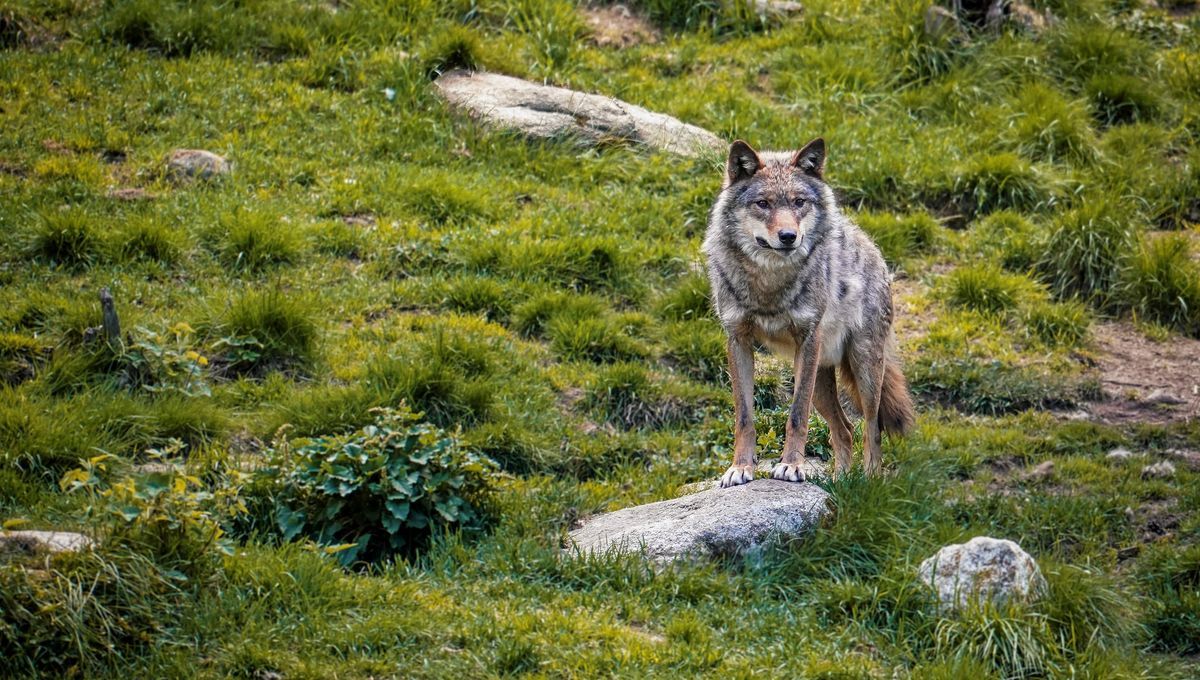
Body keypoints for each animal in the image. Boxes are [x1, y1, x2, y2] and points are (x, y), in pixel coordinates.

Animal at [702, 138, 915, 488]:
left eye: (799, 202)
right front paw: (740, 468)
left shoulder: (808, 339)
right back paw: (842, 482)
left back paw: (869, 481)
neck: (769, 282)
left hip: (863, 369)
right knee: (845, 429)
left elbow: (796, 415)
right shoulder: (738, 341)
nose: (789, 236)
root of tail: (871, 246)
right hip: (818, 380)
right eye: (763, 203)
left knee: (872, 428)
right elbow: (744, 417)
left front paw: (791, 466)